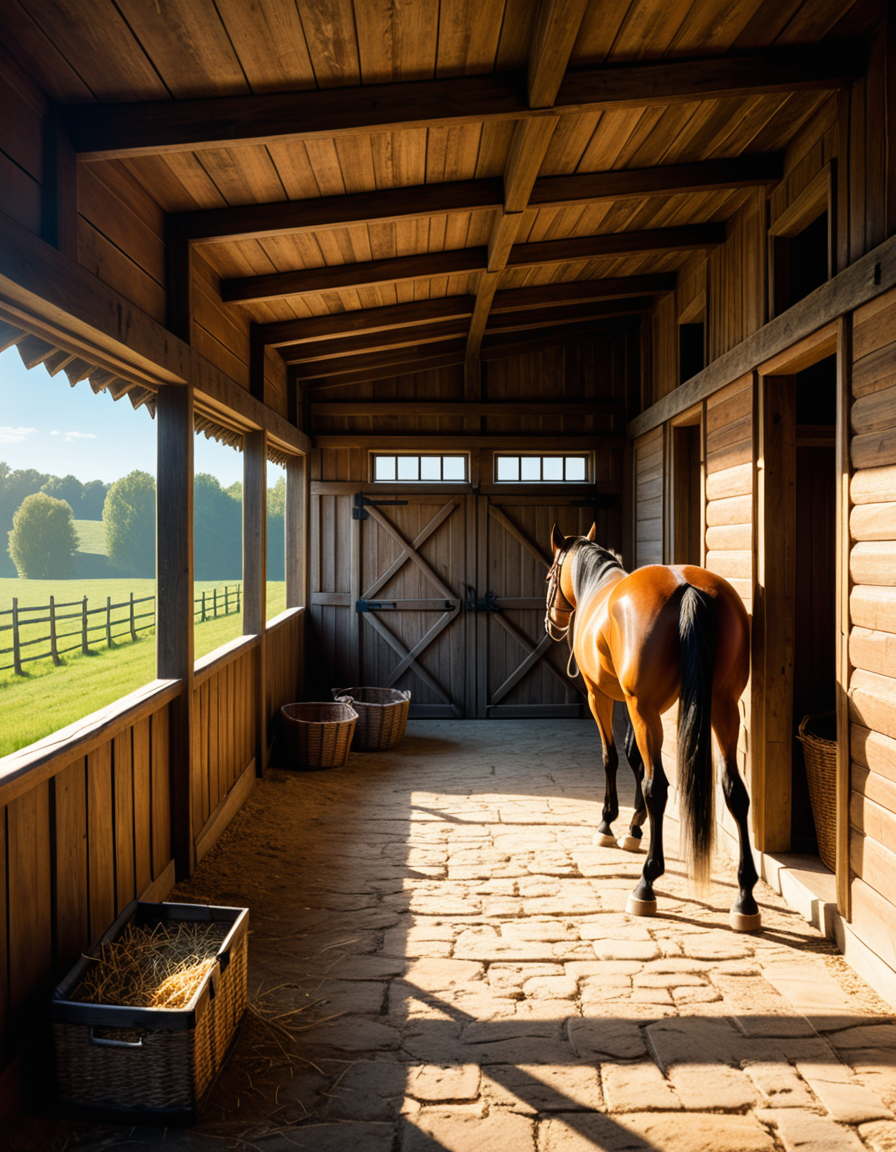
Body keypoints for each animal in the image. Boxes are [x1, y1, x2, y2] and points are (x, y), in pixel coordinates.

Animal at [545, 524, 759, 931]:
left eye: (550, 575)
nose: (552, 623)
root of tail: (687, 585)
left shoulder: (604, 697)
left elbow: (614, 758)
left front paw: (610, 824)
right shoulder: (638, 705)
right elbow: (635, 758)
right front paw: (635, 827)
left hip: (646, 709)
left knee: (658, 786)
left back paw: (646, 883)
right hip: (722, 707)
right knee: (734, 791)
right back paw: (745, 897)